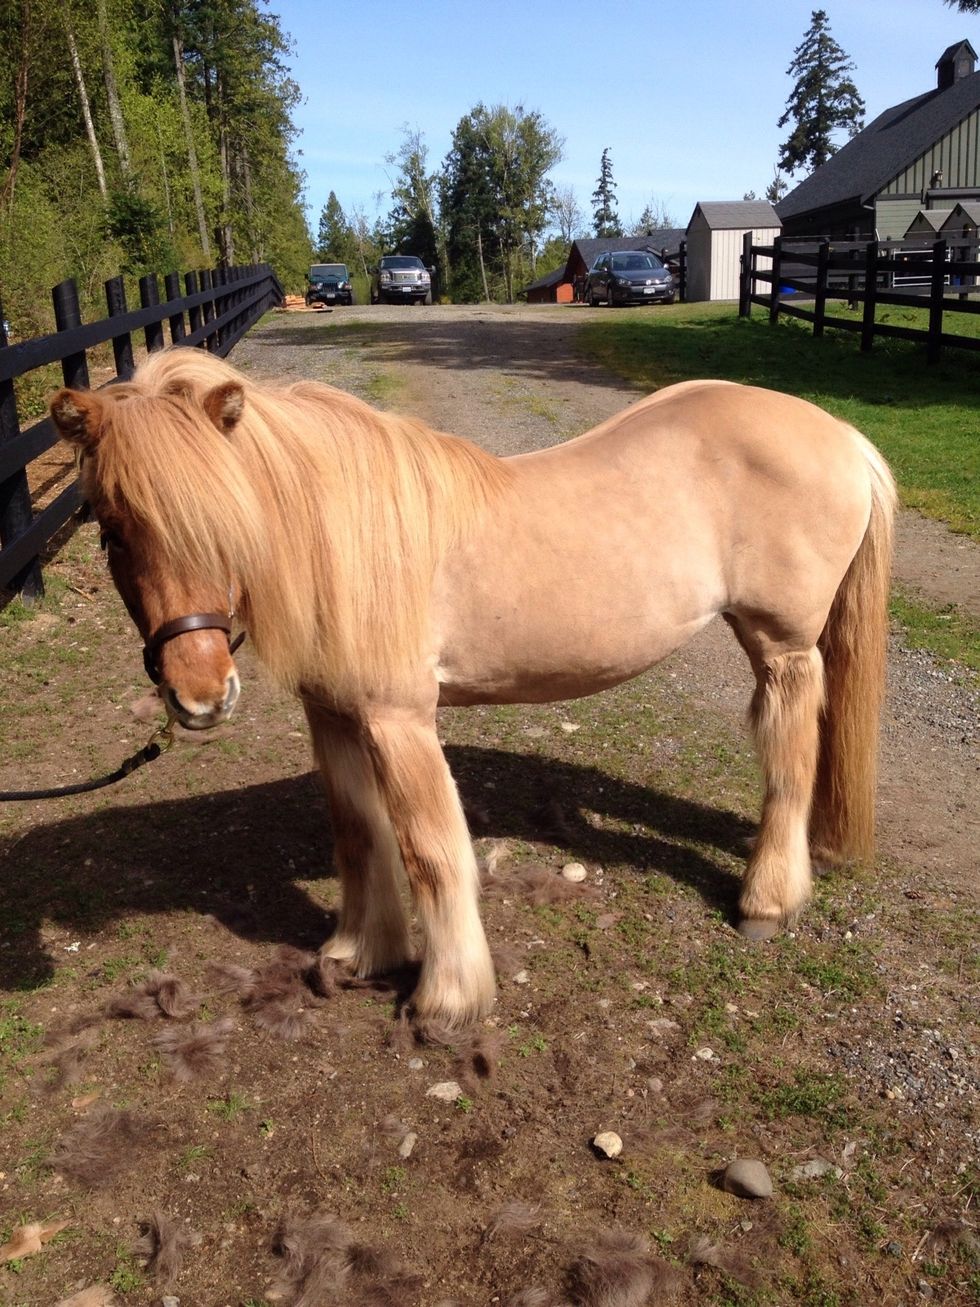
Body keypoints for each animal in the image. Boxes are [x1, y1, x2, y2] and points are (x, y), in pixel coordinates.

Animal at [49, 347, 896, 1031]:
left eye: (227, 521)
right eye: (111, 529)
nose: (197, 695)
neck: (347, 540)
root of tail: (842, 436)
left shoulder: (401, 720)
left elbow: (431, 850)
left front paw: (447, 1000)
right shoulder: (335, 717)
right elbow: (359, 832)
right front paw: (360, 954)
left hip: (782, 647)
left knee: (789, 757)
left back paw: (766, 901)